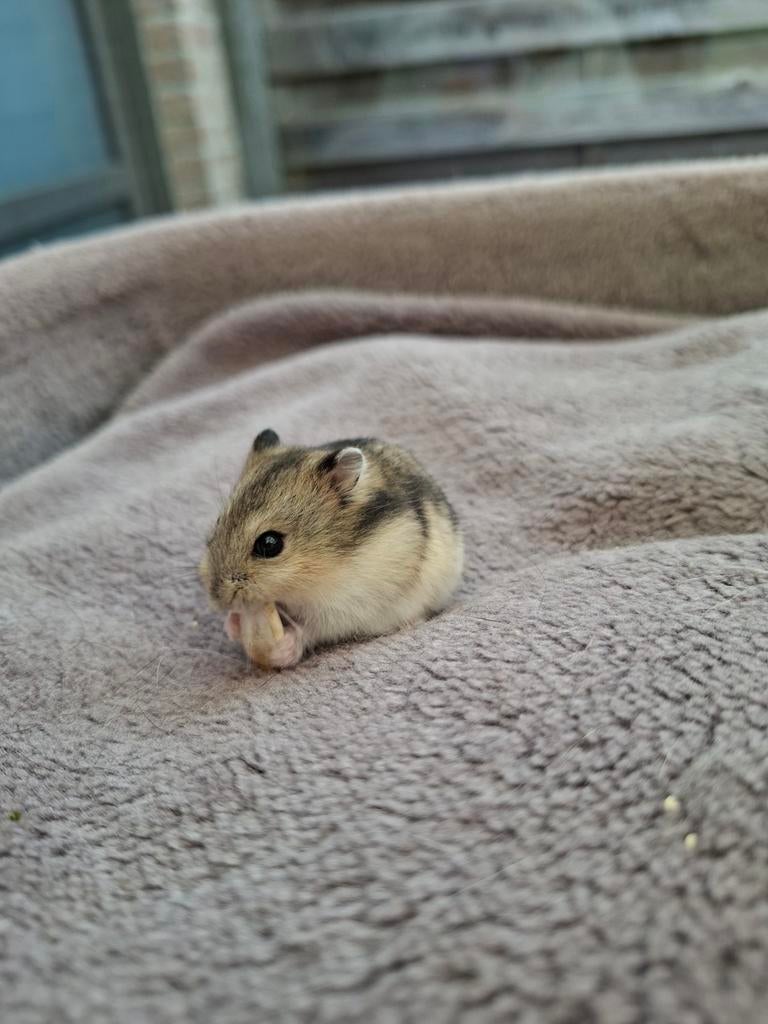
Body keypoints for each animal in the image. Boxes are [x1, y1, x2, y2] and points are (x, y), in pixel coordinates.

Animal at [200, 429, 463, 668]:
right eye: (218, 523)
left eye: (270, 544)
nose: (218, 599)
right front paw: (233, 624)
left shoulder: (346, 607)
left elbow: (310, 629)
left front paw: (282, 647)